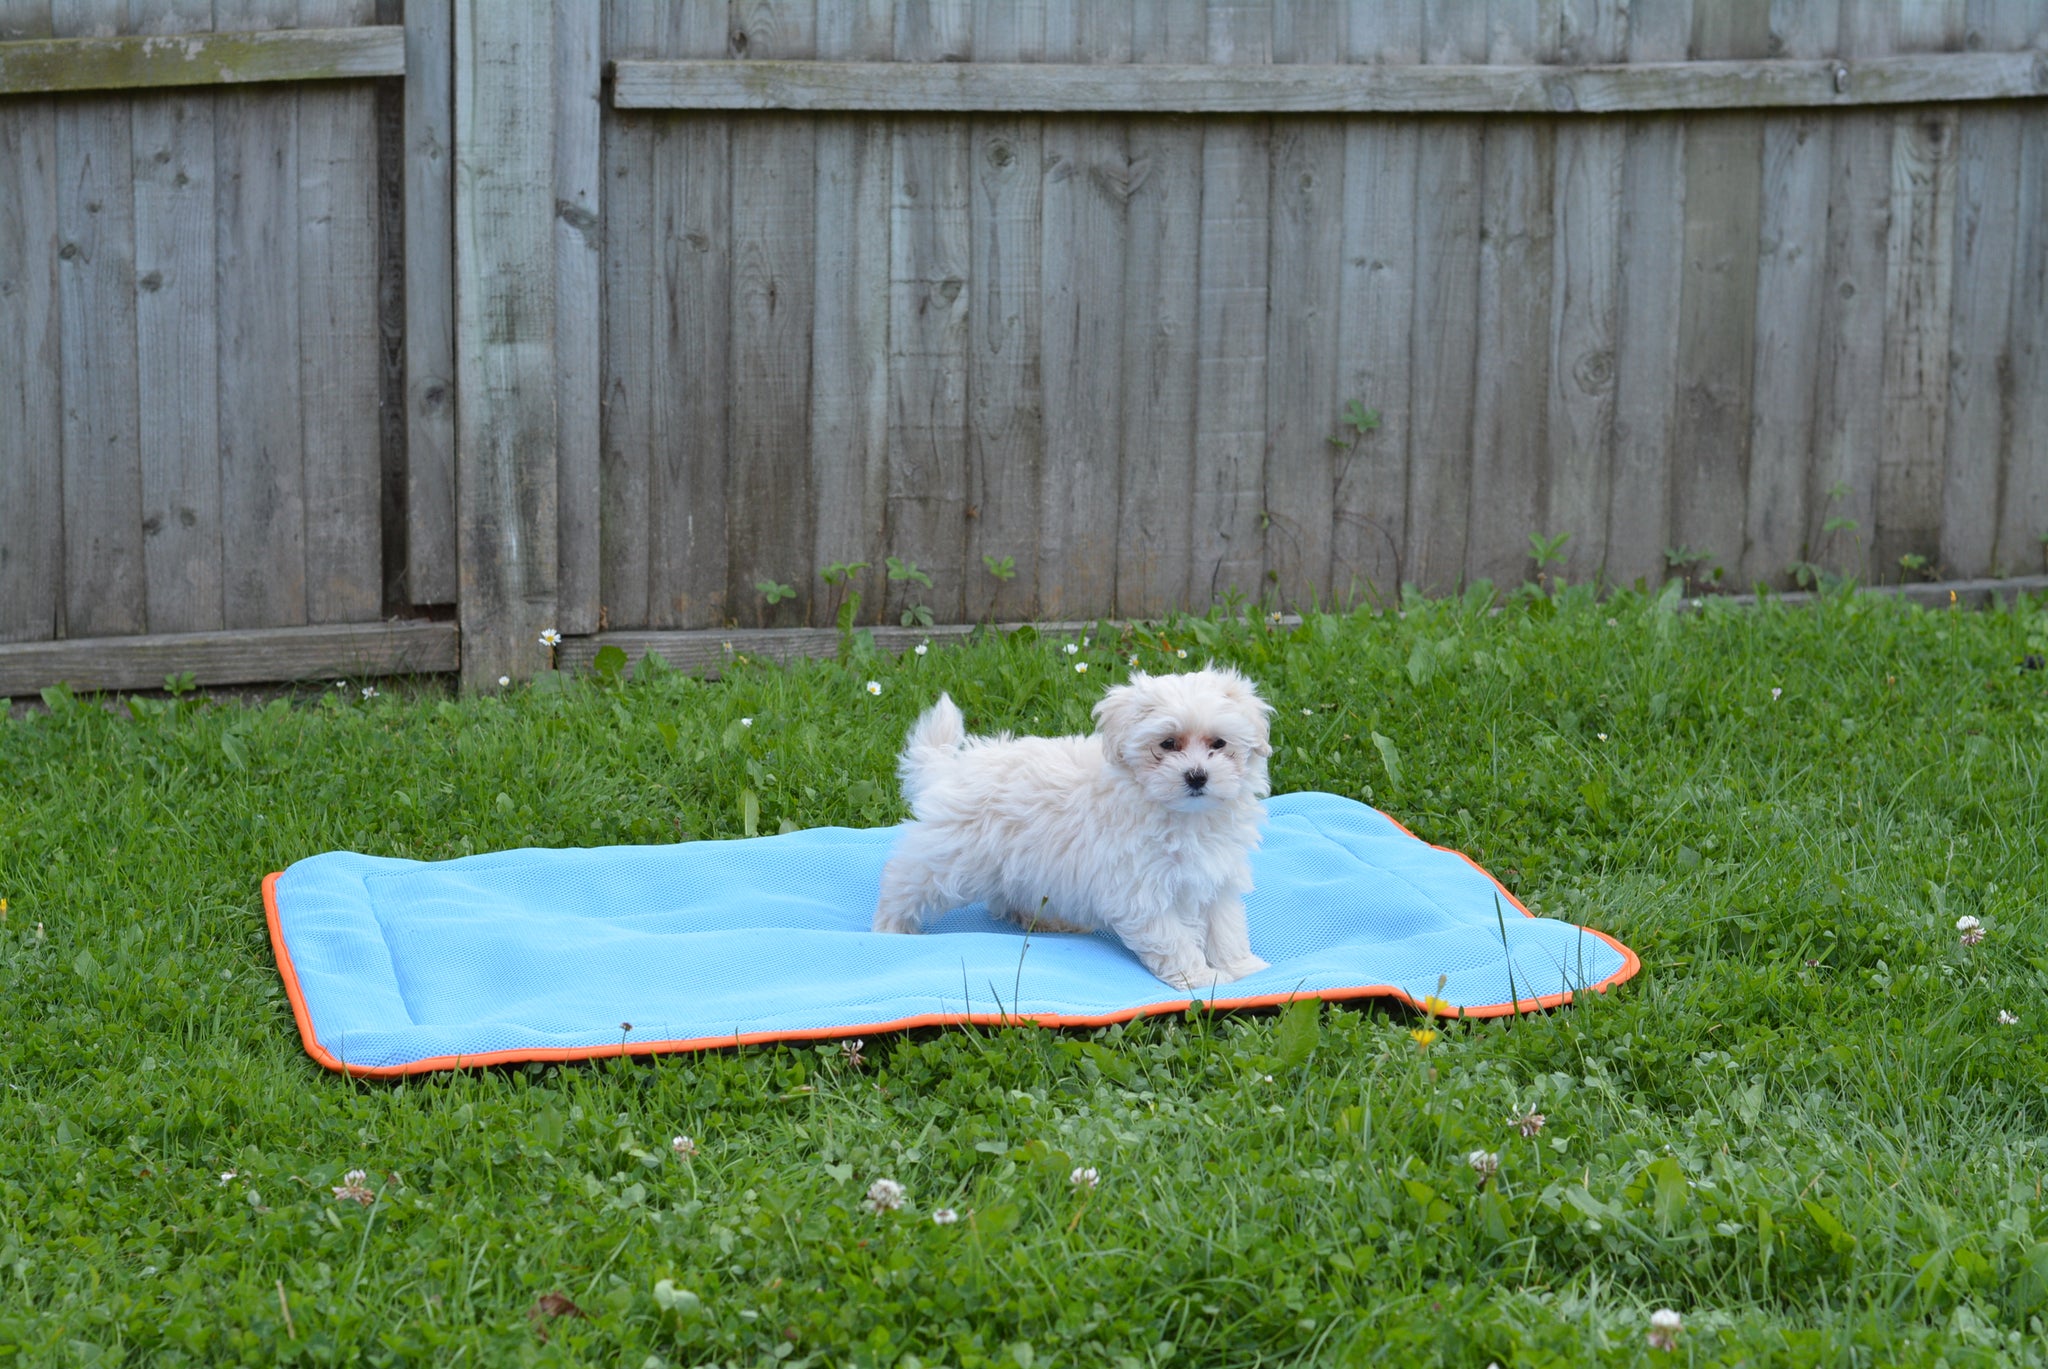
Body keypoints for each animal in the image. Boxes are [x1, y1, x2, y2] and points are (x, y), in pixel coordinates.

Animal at [872, 668, 1269, 987]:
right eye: (1168, 744)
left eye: (1219, 743)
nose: (1197, 776)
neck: (1185, 816)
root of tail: (951, 768)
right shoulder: (1141, 890)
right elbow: (1173, 937)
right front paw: (1199, 976)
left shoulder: (1216, 876)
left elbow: (1226, 926)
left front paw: (1242, 967)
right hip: (948, 856)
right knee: (904, 882)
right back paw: (889, 928)